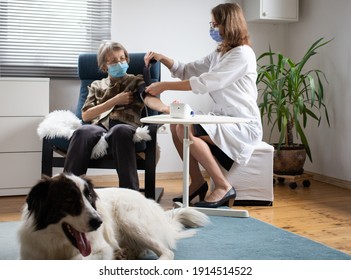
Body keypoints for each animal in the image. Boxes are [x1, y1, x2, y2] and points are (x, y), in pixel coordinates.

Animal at [18, 174, 209, 260]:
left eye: (89, 197)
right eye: (69, 199)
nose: (99, 222)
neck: (58, 244)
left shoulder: (101, 249)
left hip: (130, 219)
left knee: (166, 252)